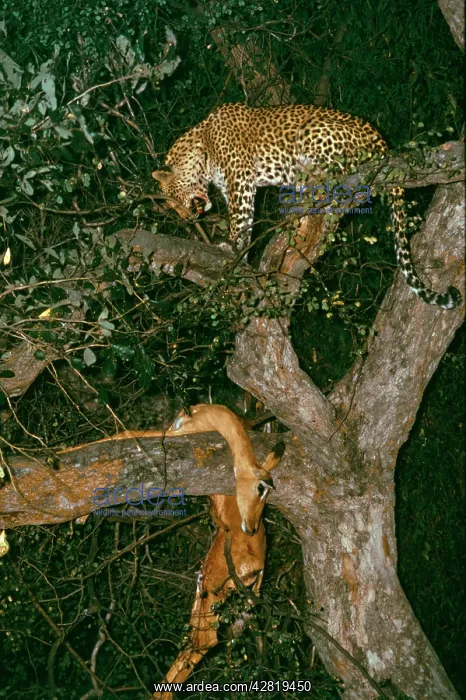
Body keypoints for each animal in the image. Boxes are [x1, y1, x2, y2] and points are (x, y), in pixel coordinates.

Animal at [152, 103, 460, 310]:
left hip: (311, 131)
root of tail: (382, 141)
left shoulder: (239, 181)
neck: (202, 147)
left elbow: (240, 222)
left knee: (342, 166)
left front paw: (234, 251)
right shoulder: (233, 187)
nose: (186, 219)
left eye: (175, 202)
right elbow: (243, 220)